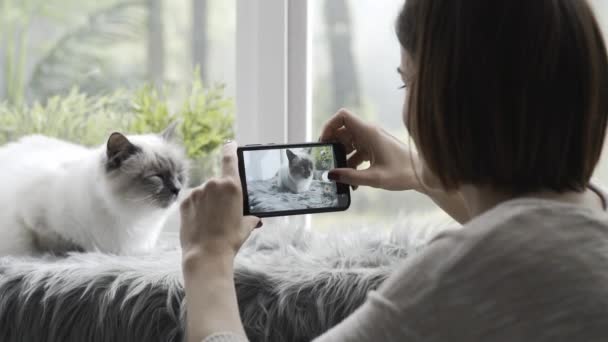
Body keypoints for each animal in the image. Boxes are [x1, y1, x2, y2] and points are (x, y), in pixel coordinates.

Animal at [0, 123, 188, 256]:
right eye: (156, 176)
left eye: (179, 174)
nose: (177, 189)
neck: (132, 216)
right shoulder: (34, 220)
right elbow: (64, 244)